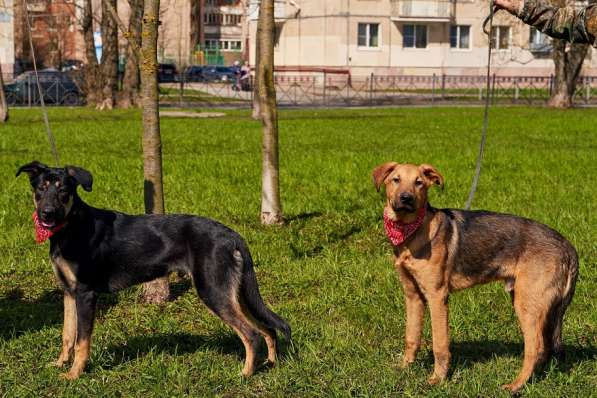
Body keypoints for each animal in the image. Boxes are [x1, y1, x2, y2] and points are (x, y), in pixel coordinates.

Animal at [16, 161, 292, 380]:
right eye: (40, 189)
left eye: (63, 191)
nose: (46, 214)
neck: (70, 227)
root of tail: (233, 236)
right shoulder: (68, 292)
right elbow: (67, 334)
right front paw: (60, 363)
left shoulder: (85, 294)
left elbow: (82, 341)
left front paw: (74, 374)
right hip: (236, 292)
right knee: (267, 328)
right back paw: (270, 363)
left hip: (214, 290)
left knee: (252, 334)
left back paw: (245, 373)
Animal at [372, 162, 576, 392]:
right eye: (395, 180)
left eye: (419, 183)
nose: (406, 199)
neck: (411, 230)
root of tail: (568, 247)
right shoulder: (413, 295)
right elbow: (411, 336)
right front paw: (405, 367)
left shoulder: (437, 296)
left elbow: (439, 344)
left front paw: (438, 379)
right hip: (537, 304)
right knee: (546, 346)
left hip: (527, 305)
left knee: (536, 348)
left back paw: (515, 385)